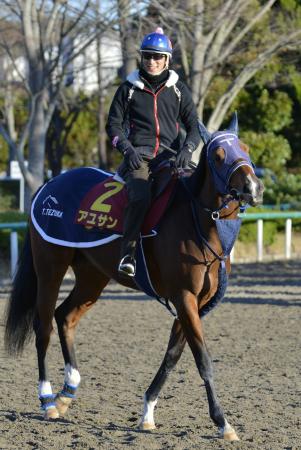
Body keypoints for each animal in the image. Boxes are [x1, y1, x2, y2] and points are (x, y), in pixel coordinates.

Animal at [4, 114, 262, 442]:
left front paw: (148, 411)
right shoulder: (184, 297)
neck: (198, 222)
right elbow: (202, 359)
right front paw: (222, 422)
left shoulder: (195, 303)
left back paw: (67, 391)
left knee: (66, 316)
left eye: (245, 148)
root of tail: (48, 185)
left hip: (93, 276)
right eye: (218, 155)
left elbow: (172, 355)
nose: (253, 187)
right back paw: (48, 400)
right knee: (44, 326)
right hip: (50, 266)